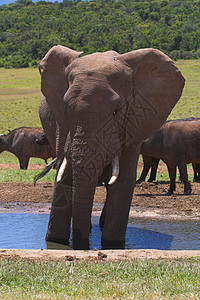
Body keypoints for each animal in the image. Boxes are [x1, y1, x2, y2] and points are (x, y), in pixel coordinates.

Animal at [38, 44, 184, 250]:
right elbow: (64, 174)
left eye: (117, 111)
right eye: (66, 109)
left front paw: (112, 245)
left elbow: (124, 180)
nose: (83, 247)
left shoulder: (135, 121)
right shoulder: (62, 123)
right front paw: (56, 242)